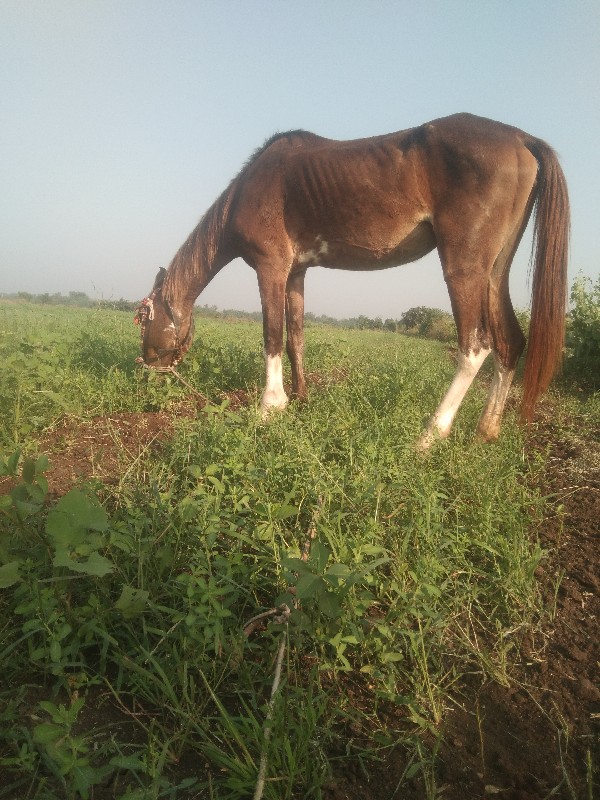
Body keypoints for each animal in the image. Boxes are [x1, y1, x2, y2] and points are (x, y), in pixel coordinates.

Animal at [134, 113, 568, 446]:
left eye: (143, 317)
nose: (146, 369)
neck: (248, 190)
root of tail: (523, 139)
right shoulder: (296, 273)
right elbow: (295, 337)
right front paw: (300, 400)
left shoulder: (271, 267)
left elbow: (271, 335)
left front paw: (268, 408)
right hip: (496, 271)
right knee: (510, 342)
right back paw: (485, 432)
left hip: (465, 268)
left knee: (475, 346)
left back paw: (429, 436)